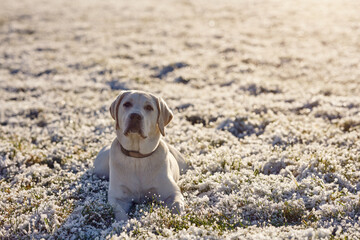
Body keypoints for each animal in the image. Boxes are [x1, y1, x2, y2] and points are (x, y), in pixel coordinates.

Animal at [93, 90, 186, 221]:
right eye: (127, 104)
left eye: (149, 107)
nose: (135, 116)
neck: (137, 158)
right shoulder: (117, 197)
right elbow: (119, 213)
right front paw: (125, 224)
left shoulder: (173, 192)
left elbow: (176, 206)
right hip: (100, 169)